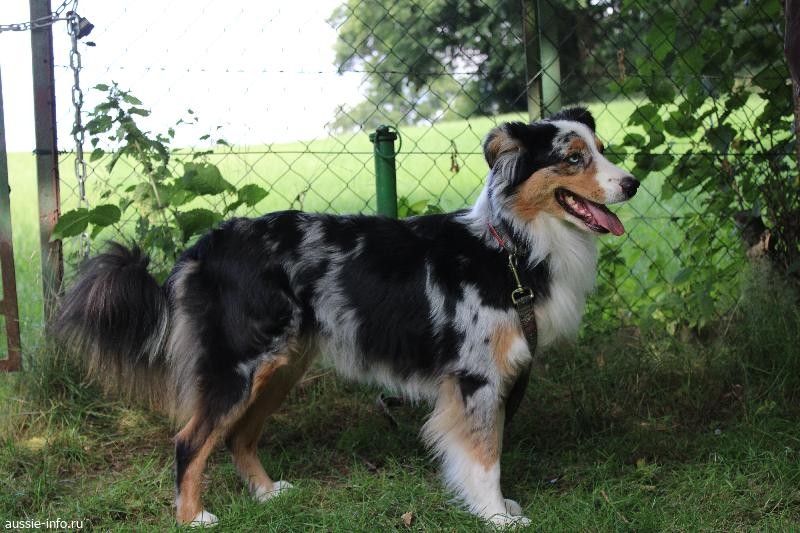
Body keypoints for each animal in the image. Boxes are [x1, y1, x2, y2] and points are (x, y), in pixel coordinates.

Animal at [53, 107, 639, 528]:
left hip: (282, 366)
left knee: (239, 436)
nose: (631, 183)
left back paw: (268, 494)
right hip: (241, 365)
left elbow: (486, 448)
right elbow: (485, 452)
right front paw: (495, 514)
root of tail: (203, 246)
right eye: (572, 159)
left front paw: (493, 508)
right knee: (190, 440)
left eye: (602, 152)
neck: (511, 246)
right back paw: (193, 517)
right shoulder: (476, 377)